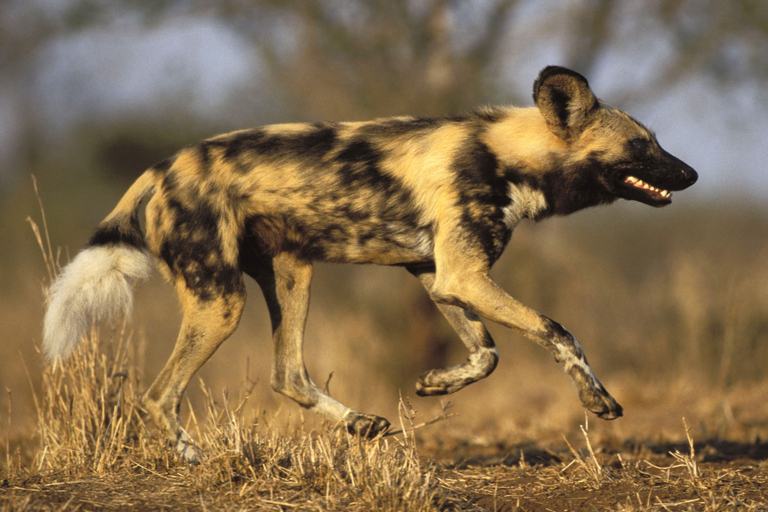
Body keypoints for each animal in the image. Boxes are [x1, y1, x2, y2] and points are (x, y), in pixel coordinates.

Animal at [45, 66, 700, 462]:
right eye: (641, 146)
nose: (692, 173)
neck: (505, 154)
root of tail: (157, 171)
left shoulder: (441, 277)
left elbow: (487, 354)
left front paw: (437, 384)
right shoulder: (464, 276)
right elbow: (558, 331)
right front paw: (598, 400)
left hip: (292, 274)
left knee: (288, 374)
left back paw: (362, 423)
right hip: (221, 302)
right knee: (159, 395)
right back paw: (191, 457)